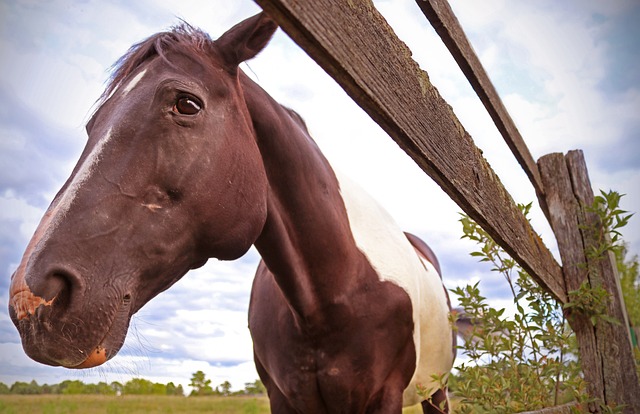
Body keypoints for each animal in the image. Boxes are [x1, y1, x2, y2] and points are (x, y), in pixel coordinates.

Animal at [6, 12, 456, 414]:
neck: (329, 295)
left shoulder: (383, 397)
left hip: (435, 392)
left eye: (187, 104)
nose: (31, 300)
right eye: (91, 126)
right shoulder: (285, 399)